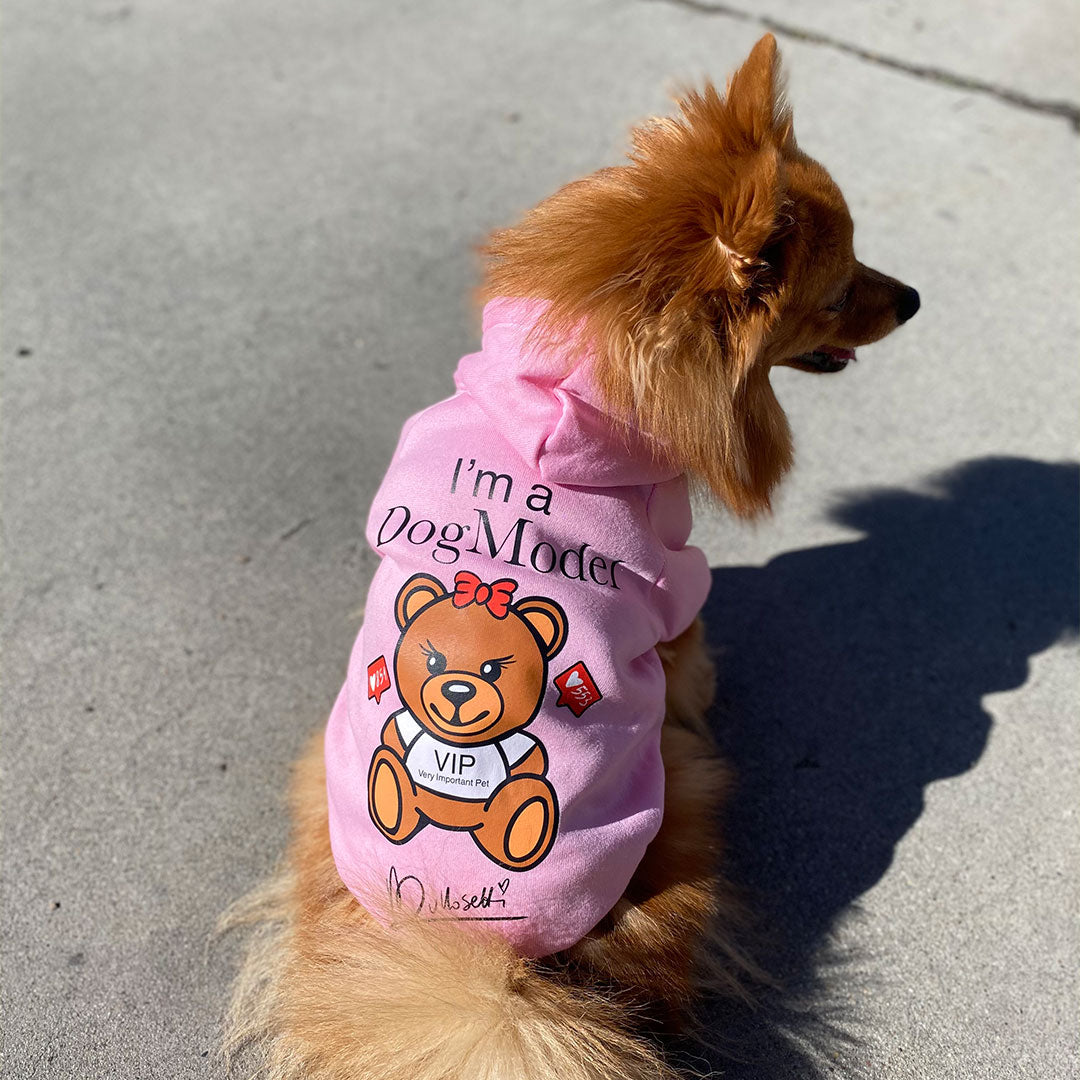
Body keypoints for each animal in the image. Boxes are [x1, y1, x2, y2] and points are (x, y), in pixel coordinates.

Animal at [366, 570, 568, 871]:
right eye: (434, 662)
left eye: (492, 670)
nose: (458, 691)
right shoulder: (407, 726)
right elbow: (394, 734)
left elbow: (532, 761)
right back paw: (389, 787)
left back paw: (525, 819)